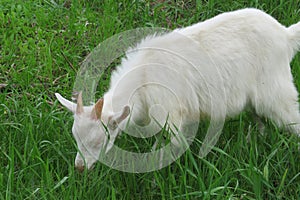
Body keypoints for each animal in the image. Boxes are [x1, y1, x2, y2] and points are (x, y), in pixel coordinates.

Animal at [55, 8, 300, 171]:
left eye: (98, 141)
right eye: (75, 137)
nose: (79, 168)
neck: (143, 78)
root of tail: (286, 35)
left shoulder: (171, 114)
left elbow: (169, 144)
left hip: (276, 90)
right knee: (258, 116)